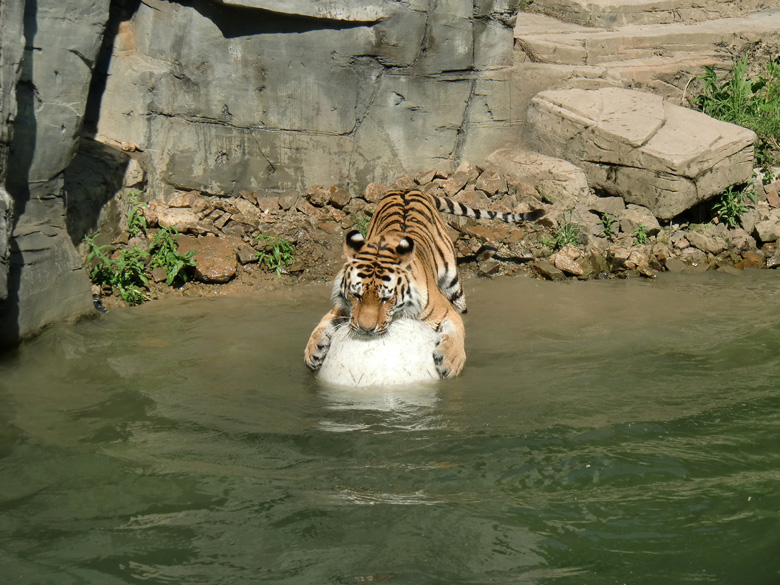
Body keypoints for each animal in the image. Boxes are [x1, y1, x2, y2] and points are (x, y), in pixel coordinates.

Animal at [302, 187, 544, 378]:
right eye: (356, 295)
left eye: (386, 299)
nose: (366, 330)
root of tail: (409, 188)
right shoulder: (344, 309)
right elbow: (323, 322)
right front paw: (313, 350)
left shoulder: (446, 311)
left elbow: (457, 331)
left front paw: (451, 361)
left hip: (454, 286)